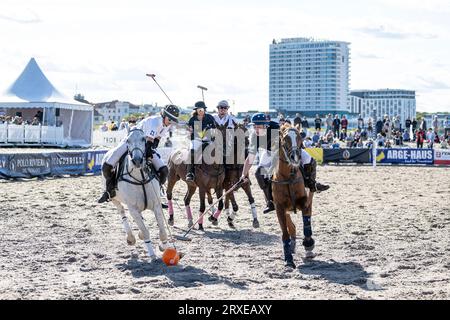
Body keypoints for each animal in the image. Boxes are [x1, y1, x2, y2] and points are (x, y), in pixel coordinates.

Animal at [103, 128, 169, 262]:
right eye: (127, 140)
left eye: (144, 139)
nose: (137, 160)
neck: (140, 178)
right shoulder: (132, 209)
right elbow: (146, 231)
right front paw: (152, 255)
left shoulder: (156, 205)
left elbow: (162, 231)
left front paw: (163, 247)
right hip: (114, 198)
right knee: (122, 212)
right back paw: (131, 238)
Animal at [272, 124, 314, 268]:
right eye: (285, 138)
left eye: (300, 137)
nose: (296, 157)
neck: (288, 177)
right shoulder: (279, 208)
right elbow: (285, 233)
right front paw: (289, 259)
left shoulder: (305, 202)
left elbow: (307, 225)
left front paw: (309, 245)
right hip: (286, 211)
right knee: (292, 227)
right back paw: (292, 247)